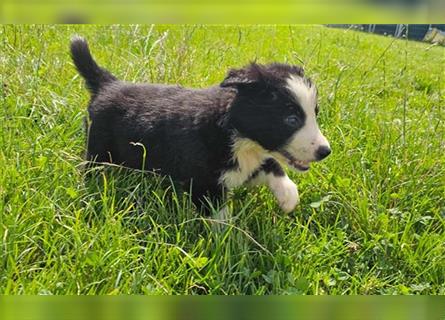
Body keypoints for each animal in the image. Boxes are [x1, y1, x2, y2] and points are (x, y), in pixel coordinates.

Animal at [71, 37, 330, 212]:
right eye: (292, 120)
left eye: (315, 114)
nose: (325, 151)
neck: (238, 137)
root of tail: (107, 84)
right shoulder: (205, 183)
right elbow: (221, 219)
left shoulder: (248, 163)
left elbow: (272, 166)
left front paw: (288, 197)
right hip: (98, 147)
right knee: (92, 166)